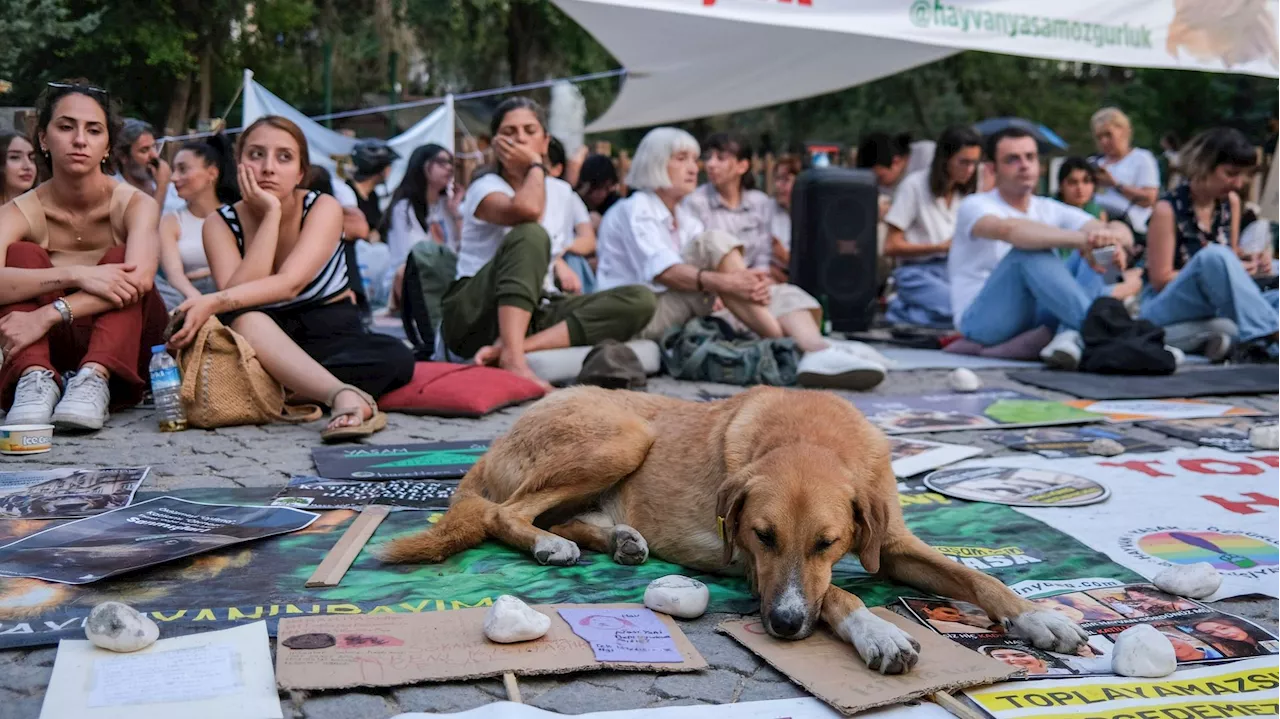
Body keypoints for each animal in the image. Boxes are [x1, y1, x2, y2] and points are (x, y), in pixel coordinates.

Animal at [384, 386, 1085, 670]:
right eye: (762, 537)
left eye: (829, 542)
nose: (784, 626)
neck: (810, 438)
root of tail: (498, 438)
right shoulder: (755, 569)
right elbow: (838, 594)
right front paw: (878, 633)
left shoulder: (892, 545)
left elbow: (970, 575)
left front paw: (1035, 617)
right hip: (623, 435)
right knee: (507, 512)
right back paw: (551, 543)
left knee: (561, 514)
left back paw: (619, 539)